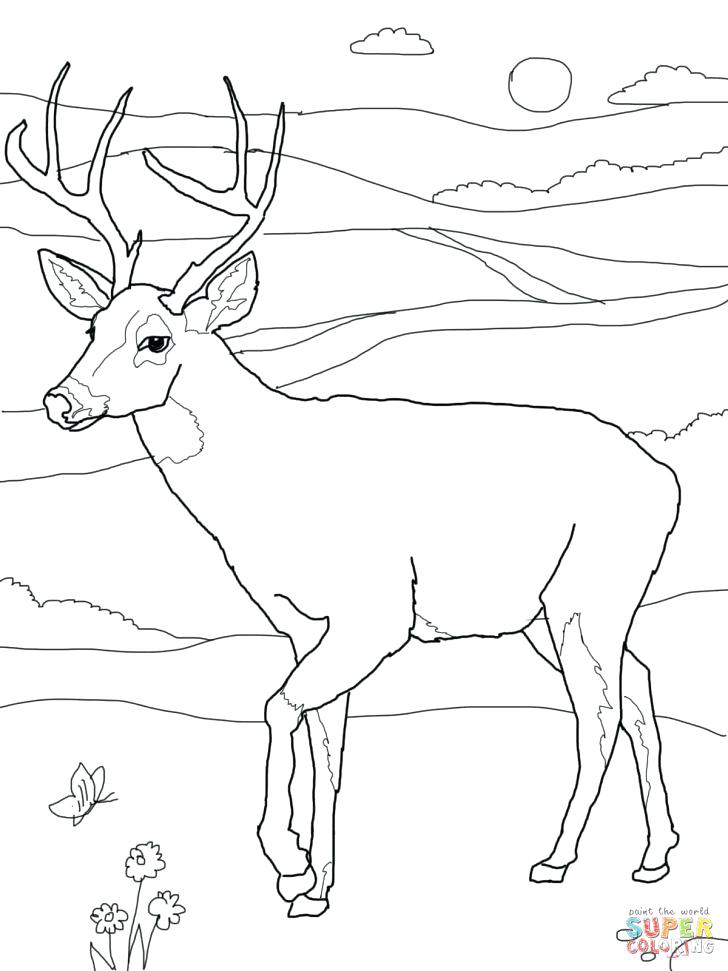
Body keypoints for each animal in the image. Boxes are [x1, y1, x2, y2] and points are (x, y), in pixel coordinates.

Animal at [6, 65, 681, 918]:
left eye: (155, 338)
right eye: (90, 327)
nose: (61, 400)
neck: (271, 484)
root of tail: (667, 480)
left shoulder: (376, 610)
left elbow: (278, 706)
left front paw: (285, 857)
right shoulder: (305, 624)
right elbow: (328, 744)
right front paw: (317, 885)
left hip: (587, 590)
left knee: (599, 708)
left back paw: (555, 858)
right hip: (556, 607)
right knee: (640, 687)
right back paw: (655, 855)